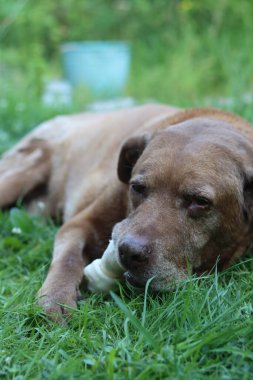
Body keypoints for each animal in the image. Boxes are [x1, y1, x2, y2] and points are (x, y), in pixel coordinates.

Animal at [0, 104, 253, 320]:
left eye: (200, 201)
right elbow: (68, 259)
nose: (129, 252)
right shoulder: (80, 224)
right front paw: (56, 297)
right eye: (137, 187)